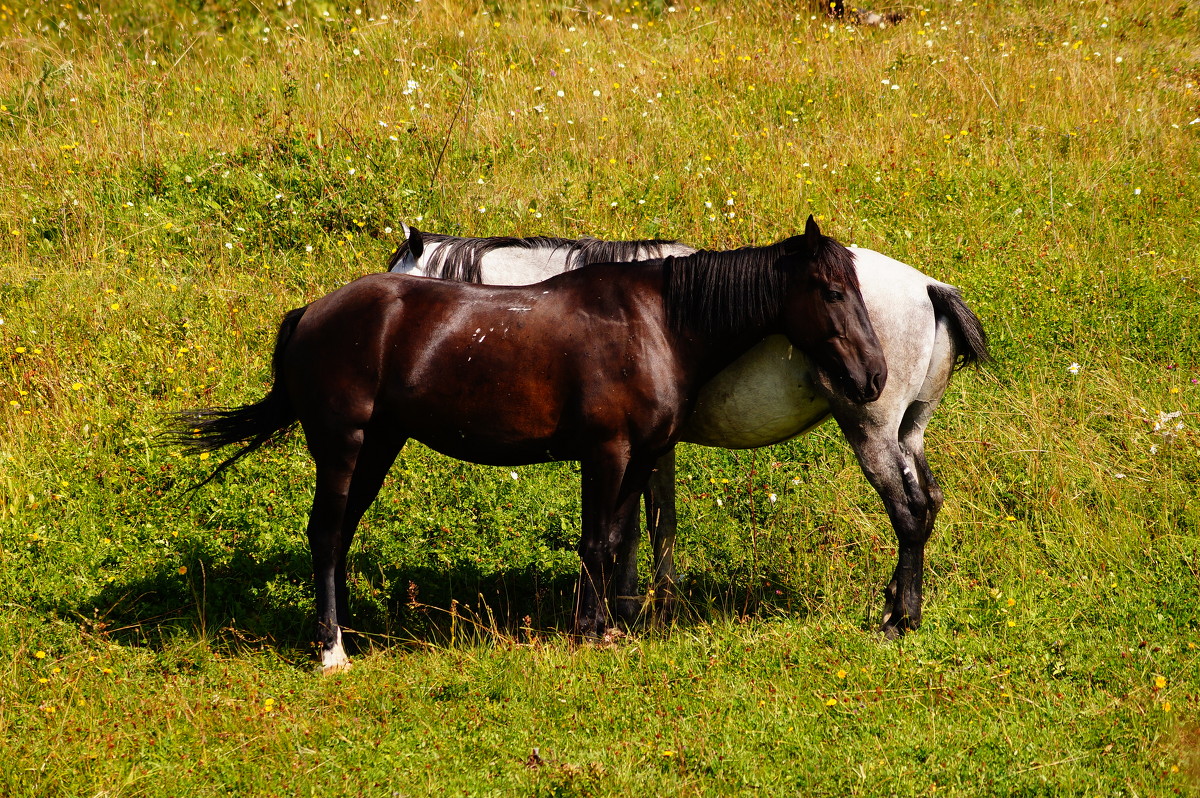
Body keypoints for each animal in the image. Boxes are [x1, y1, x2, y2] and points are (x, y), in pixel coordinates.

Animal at [171, 214, 883, 667]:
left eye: (857, 289)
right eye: (832, 291)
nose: (873, 376)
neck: (653, 322)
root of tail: (313, 313)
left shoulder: (640, 458)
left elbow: (618, 542)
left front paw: (606, 628)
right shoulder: (605, 453)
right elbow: (596, 545)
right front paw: (588, 634)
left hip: (377, 447)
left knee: (339, 535)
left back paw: (345, 632)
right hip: (342, 446)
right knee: (324, 534)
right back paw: (331, 650)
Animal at [388, 222, 988, 633]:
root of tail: (929, 287)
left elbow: (640, 526)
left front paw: (634, 610)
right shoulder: (651, 447)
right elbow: (647, 524)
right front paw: (639, 606)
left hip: (872, 430)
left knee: (908, 511)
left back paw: (900, 619)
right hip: (908, 432)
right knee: (928, 503)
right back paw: (895, 601)